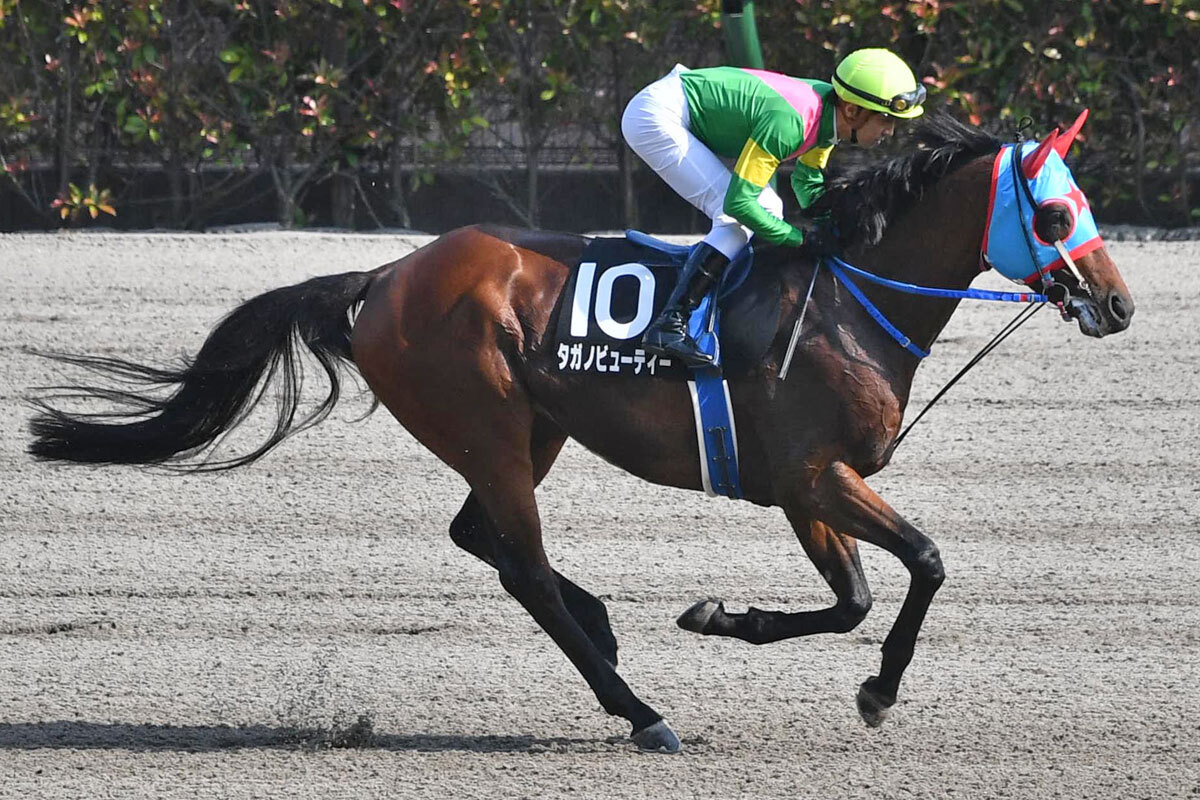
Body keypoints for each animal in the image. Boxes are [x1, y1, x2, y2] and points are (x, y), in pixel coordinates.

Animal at [28, 110, 1132, 753]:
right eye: (1055, 210)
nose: (1119, 304)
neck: (848, 297)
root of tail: (385, 274)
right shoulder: (810, 476)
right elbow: (923, 564)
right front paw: (870, 690)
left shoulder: (805, 486)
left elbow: (856, 595)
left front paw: (724, 618)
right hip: (486, 421)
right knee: (518, 561)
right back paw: (641, 711)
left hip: (533, 427)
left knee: (480, 534)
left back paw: (605, 627)